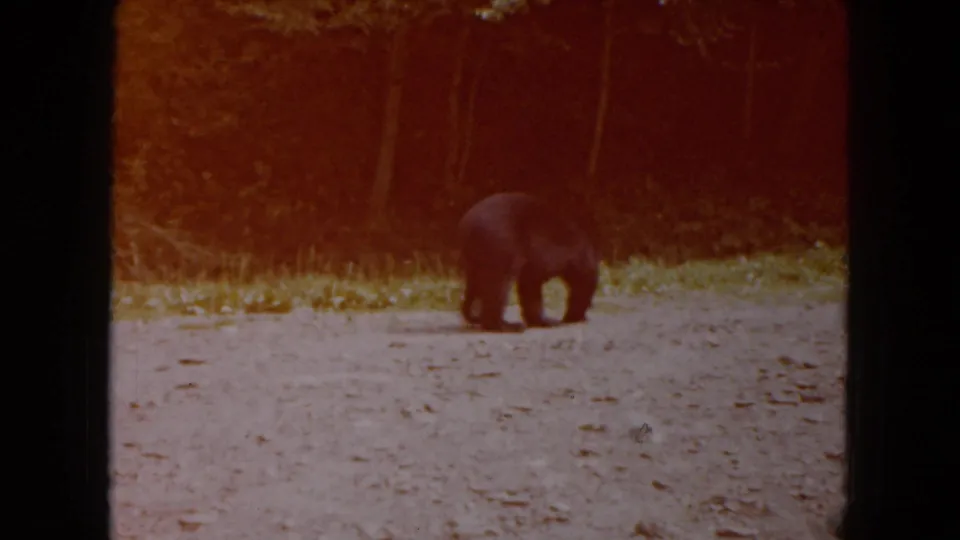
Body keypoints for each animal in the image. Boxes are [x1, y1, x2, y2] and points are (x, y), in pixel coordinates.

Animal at [457, 192, 599, 333]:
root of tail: (466, 225)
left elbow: (529, 286)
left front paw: (542, 321)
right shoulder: (549, 253)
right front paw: (570, 316)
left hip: (475, 258)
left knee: (476, 284)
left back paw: (476, 316)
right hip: (501, 242)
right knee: (498, 282)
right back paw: (505, 325)